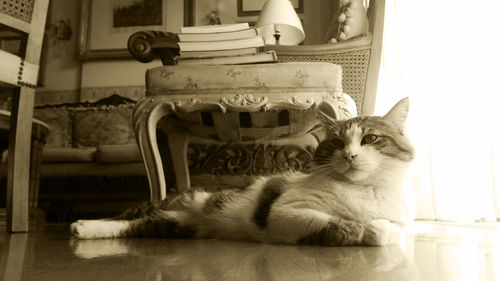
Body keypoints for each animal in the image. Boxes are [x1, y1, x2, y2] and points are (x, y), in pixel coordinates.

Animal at [70, 97, 414, 245]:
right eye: (338, 142)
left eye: (370, 139)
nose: (351, 154)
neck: (361, 190)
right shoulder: (284, 213)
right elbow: (342, 224)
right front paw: (359, 228)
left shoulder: (399, 221)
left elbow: (389, 232)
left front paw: (375, 228)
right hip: (172, 203)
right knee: (127, 216)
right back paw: (82, 225)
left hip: (173, 225)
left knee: (135, 226)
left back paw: (89, 230)